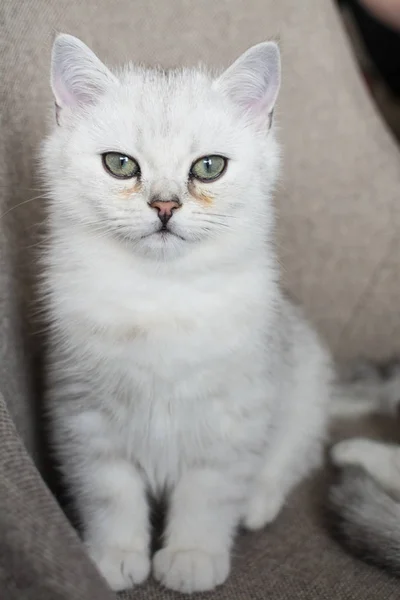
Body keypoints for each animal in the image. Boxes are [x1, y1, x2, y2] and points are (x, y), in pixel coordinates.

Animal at [41, 34, 334, 596]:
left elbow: (208, 496)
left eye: (208, 167)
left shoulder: (236, 417)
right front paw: (115, 557)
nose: (164, 206)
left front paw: (192, 557)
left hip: (307, 378)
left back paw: (258, 503)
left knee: (294, 454)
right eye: (120, 164)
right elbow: (110, 494)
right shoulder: (85, 416)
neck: (162, 293)